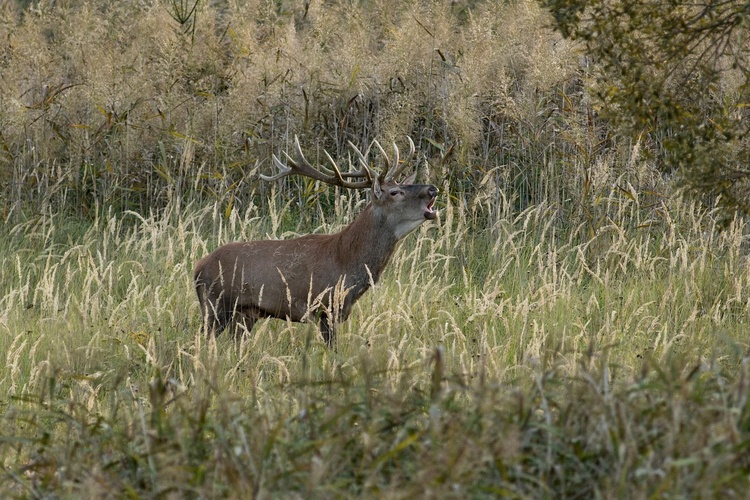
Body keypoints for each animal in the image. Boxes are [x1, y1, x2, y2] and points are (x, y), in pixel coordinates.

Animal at [194, 137, 440, 348]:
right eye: (395, 192)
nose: (433, 188)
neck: (347, 263)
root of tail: (197, 268)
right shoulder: (325, 307)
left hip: (244, 314)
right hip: (215, 307)